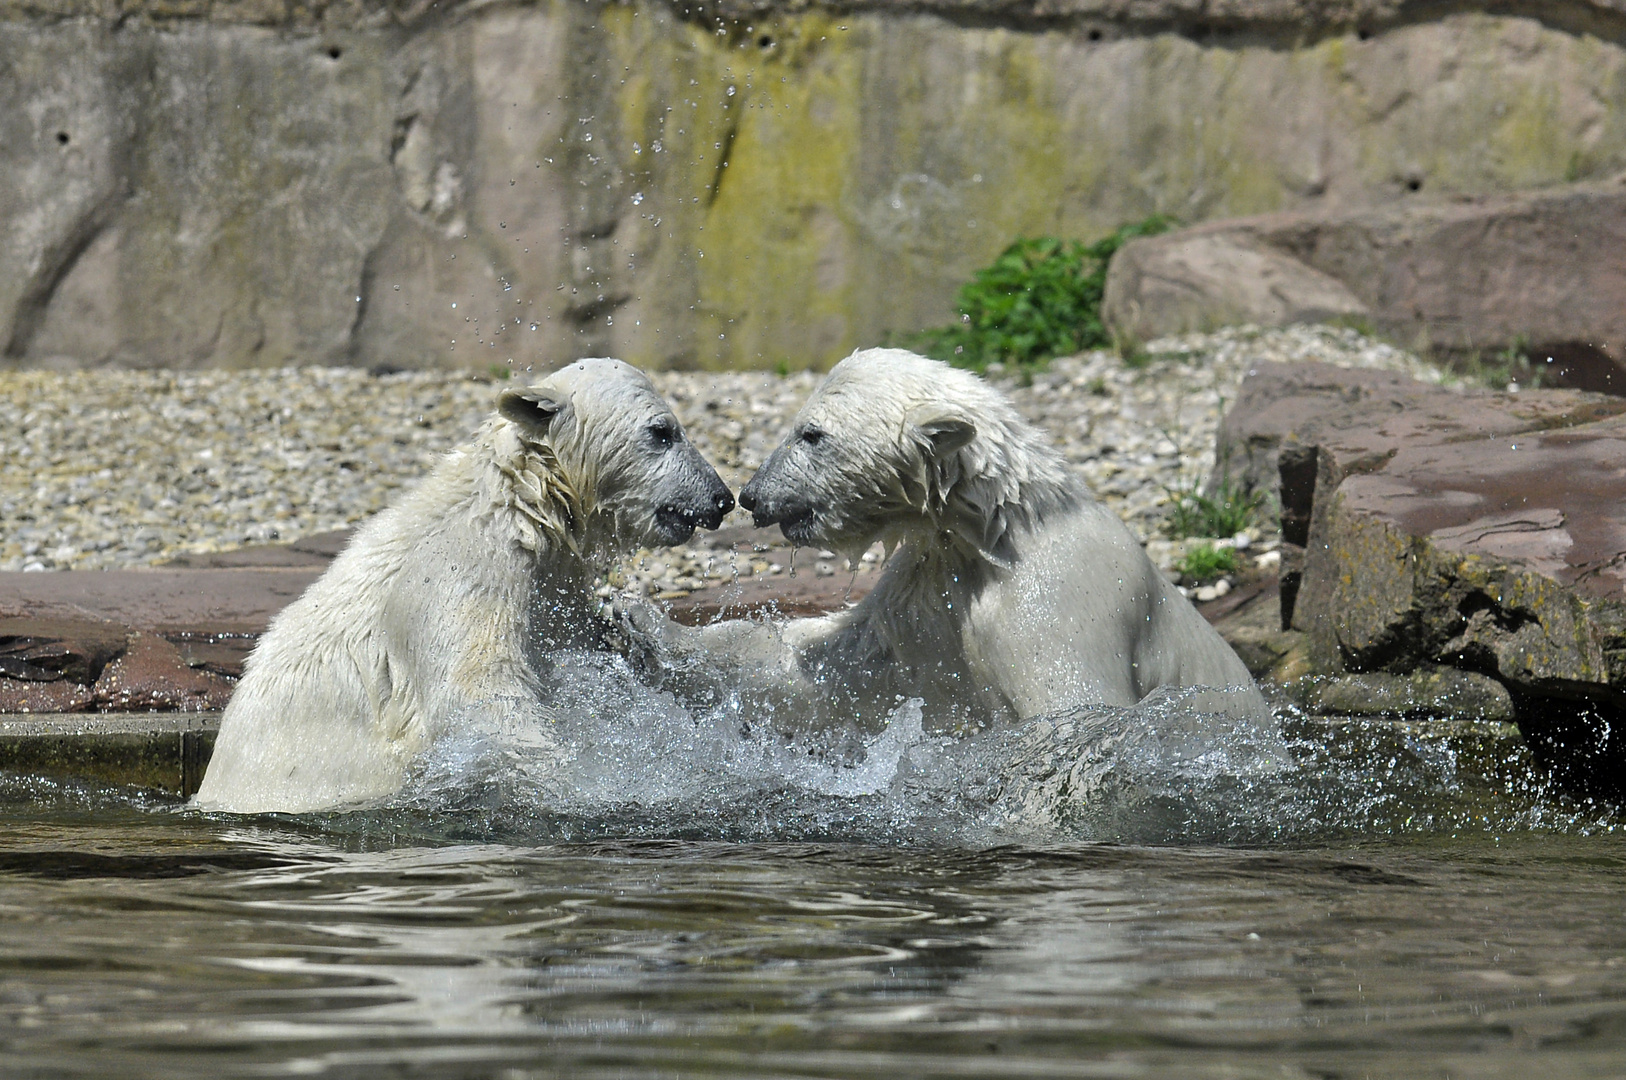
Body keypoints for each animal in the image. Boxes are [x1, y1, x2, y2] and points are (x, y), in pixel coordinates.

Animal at [196, 357, 738, 813]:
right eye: (662, 432)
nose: (722, 498)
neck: (520, 500)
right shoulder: (464, 572)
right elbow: (478, 692)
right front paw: (582, 777)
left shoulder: (551, 585)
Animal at [634, 346, 1255, 735]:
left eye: (812, 434)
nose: (752, 496)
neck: (1002, 530)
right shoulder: (937, 583)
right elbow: (843, 662)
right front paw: (643, 624)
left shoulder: (1062, 601)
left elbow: (1075, 705)